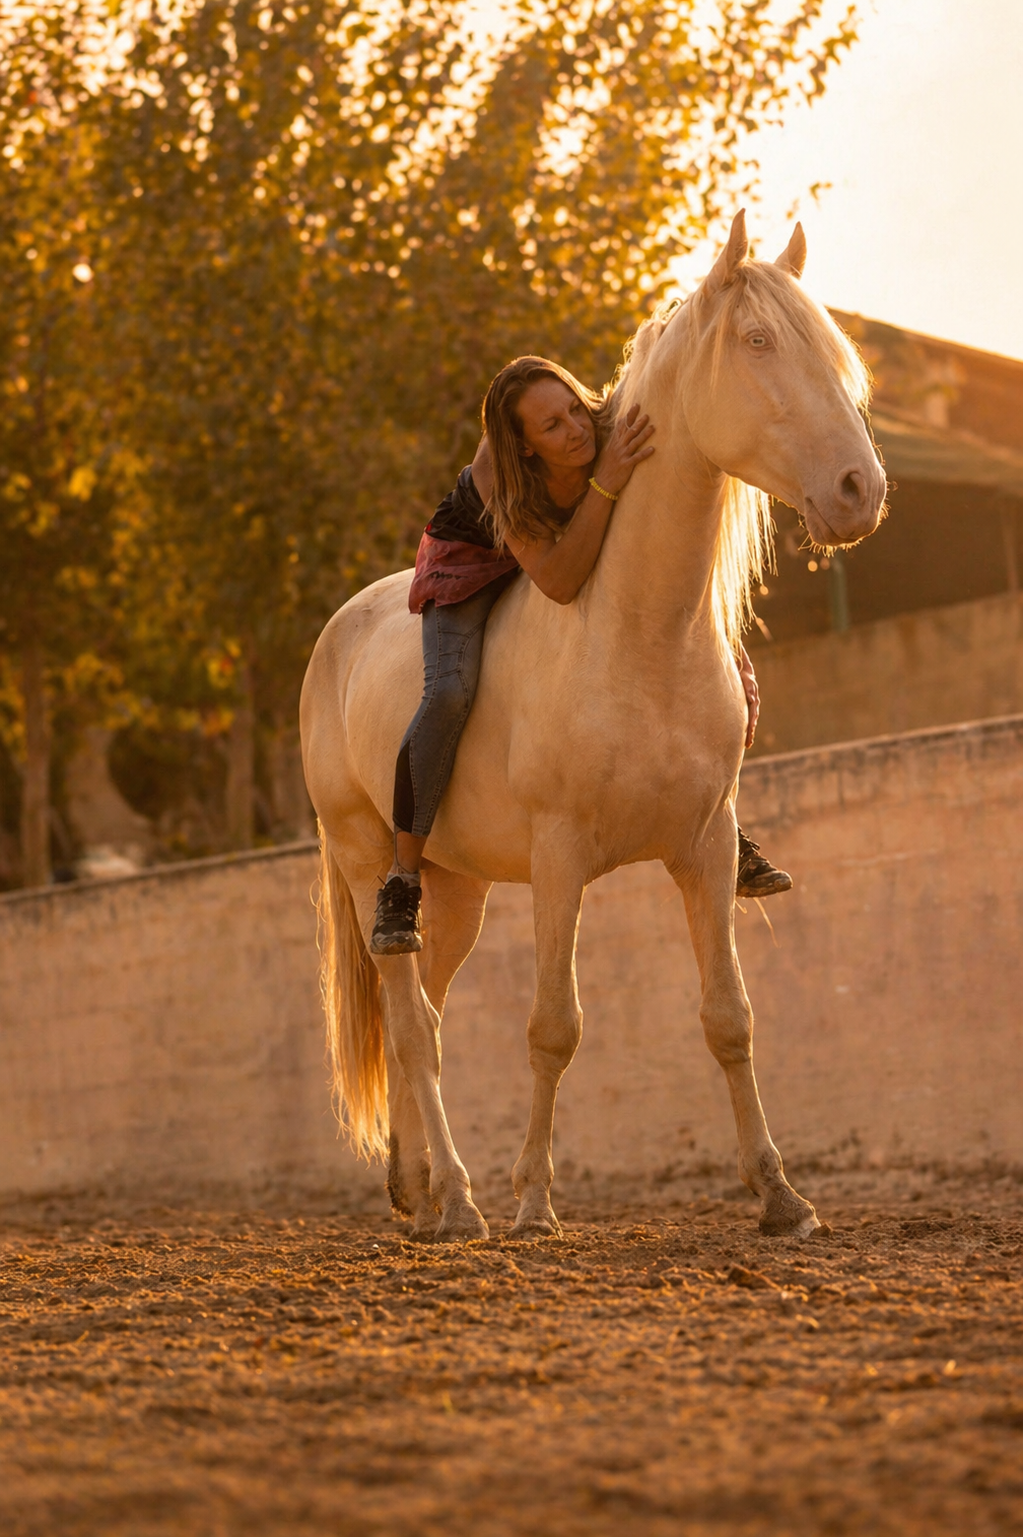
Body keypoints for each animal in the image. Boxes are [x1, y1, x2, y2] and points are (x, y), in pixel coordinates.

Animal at [300, 211, 887, 1243]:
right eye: (758, 340)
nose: (860, 490)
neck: (636, 636)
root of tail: (335, 635)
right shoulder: (560, 858)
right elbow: (553, 1026)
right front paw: (535, 1200)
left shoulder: (704, 846)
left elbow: (729, 1016)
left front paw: (781, 1197)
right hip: (374, 859)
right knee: (411, 1026)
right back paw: (464, 1201)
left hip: (454, 892)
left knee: (427, 1023)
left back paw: (422, 1191)